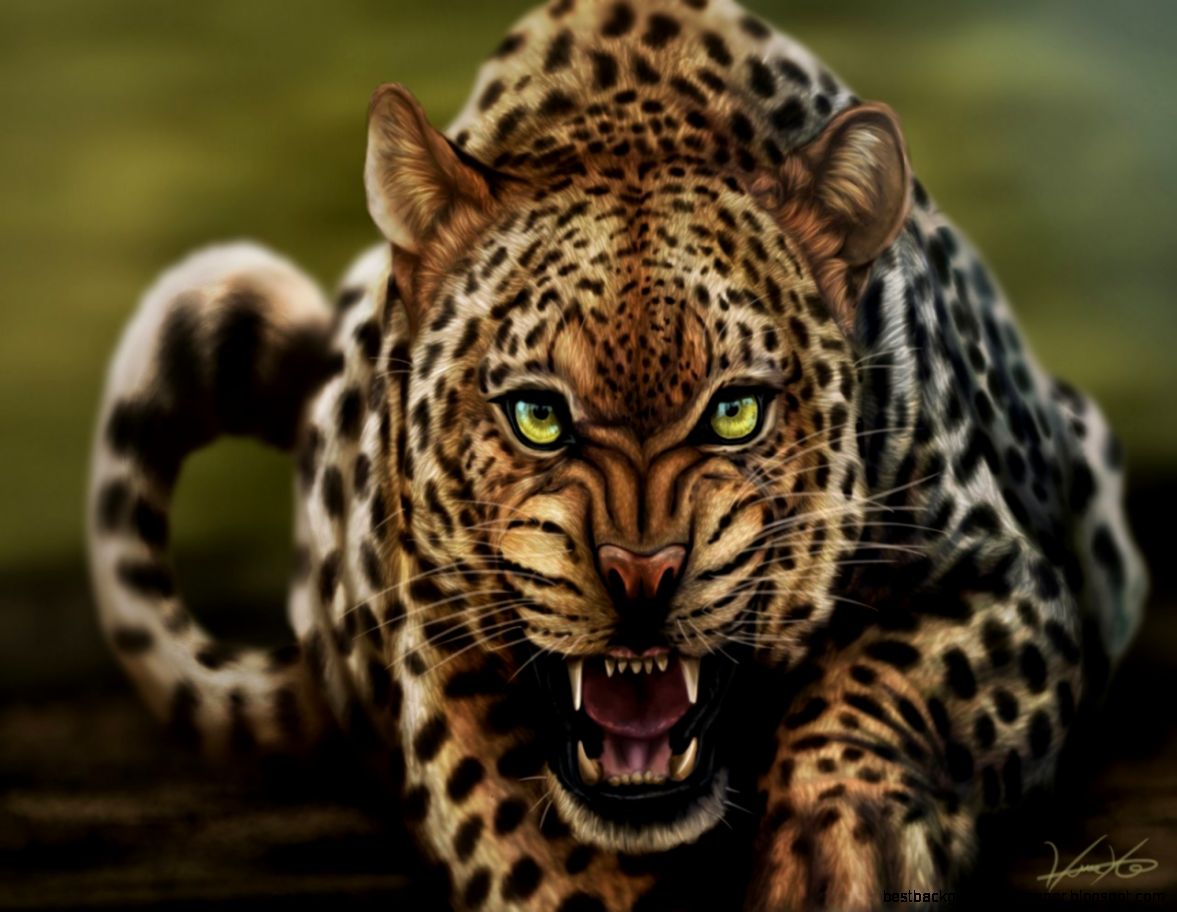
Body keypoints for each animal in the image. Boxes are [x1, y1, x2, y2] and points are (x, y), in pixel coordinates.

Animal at [87, 1, 1147, 909]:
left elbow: (888, 677)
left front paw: (841, 857)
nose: (642, 577)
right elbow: (521, 823)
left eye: (734, 413)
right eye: (537, 417)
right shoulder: (438, 640)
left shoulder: (1009, 581)